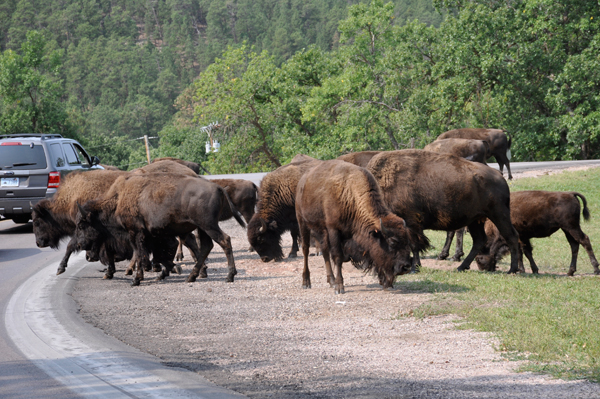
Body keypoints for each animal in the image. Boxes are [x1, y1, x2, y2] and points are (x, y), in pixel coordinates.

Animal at [296, 161, 418, 296]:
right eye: (392, 242)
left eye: (407, 241)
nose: (406, 267)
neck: (350, 194)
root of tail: (302, 181)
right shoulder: (333, 229)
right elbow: (338, 257)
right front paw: (339, 287)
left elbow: (372, 255)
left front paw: (386, 283)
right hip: (302, 222)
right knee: (306, 250)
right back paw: (306, 282)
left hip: (322, 230)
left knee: (325, 251)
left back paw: (331, 281)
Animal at [366, 150, 520, 276]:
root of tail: (499, 176)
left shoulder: (411, 223)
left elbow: (414, 245)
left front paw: (415, 268)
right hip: (475, 220)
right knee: (479, 240)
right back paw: (461, 267)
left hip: (499, 214)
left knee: (511, 236)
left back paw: (512, 270)